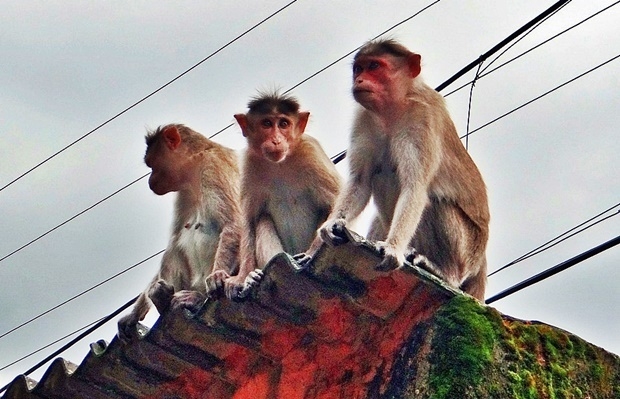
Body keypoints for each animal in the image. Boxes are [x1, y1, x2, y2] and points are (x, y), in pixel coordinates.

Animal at [117, 123, 241, 342]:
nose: (150, 180)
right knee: (173, 249)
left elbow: (234, 222)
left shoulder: (213, 166)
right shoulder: (183, 193)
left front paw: (218, 276)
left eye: (152, 164)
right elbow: (175, 239)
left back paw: (196, 300)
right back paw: (163, 299)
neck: (194, 167)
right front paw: (133, 314)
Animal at [226, 92, 344, 300]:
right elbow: (250, 221)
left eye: (283, 124)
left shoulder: (311, 151)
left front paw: (313, 253)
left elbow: (339, 198)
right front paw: (244, 278)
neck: (279, 164)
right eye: (266, 123)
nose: (276, 140)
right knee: (263, 220)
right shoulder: (249, 163)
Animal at [304, 39, 490, 300]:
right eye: (358, 69)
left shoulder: (422, 119)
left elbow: (415, 187)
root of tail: (481, 262)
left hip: (468, 250)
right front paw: (330, 226)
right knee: (383, 177)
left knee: (433, 201)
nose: (359, 80)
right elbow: (361, 181)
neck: (393, 109)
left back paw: (445, 273)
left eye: (374, 66)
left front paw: (393, 248)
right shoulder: (364, 118)